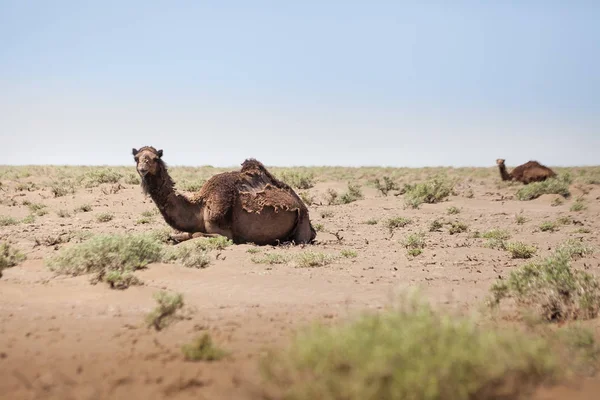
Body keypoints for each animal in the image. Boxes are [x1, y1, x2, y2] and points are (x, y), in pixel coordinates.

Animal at [132, 147, 318, 245]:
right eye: (136, 158)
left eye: (155, 158)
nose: (143, 168)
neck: (200, 204)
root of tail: (301, 205)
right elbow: (178, 234)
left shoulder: (224, 233)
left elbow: (196, 234)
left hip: (302, 223)